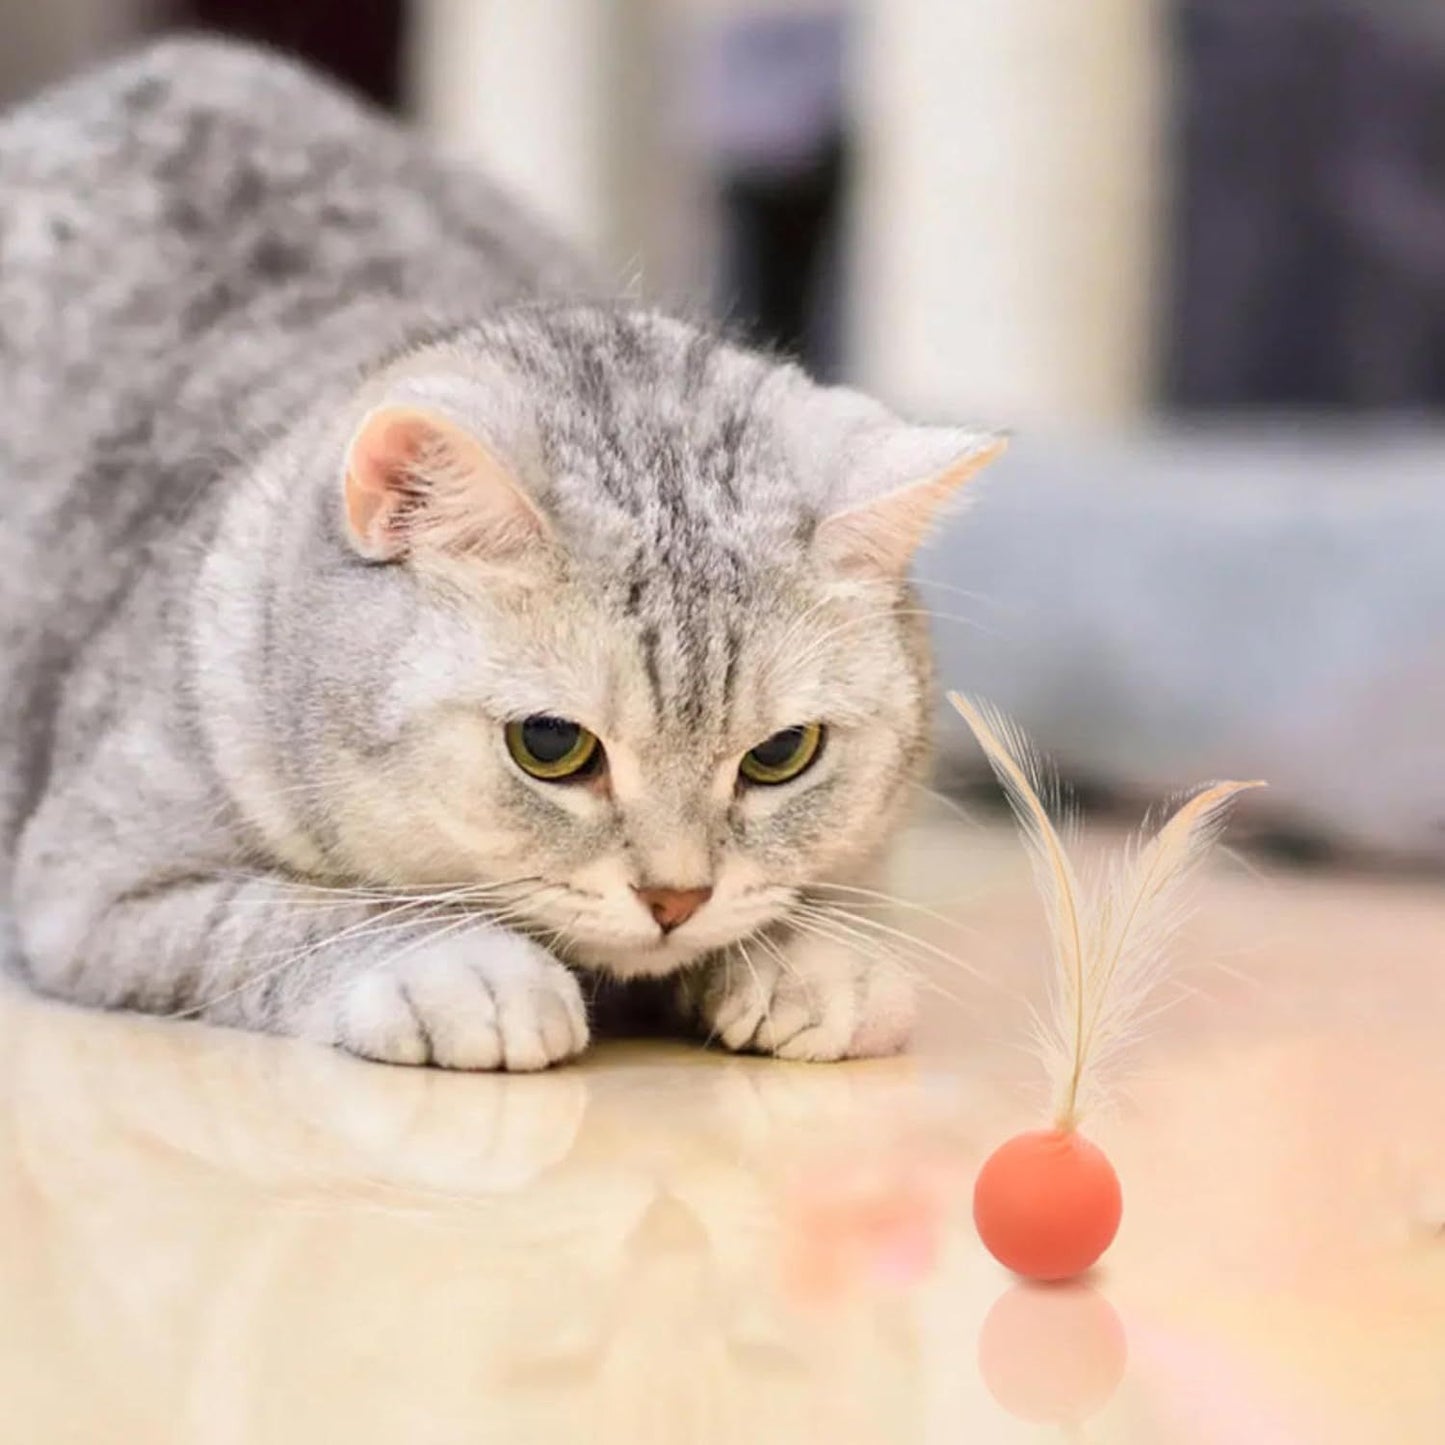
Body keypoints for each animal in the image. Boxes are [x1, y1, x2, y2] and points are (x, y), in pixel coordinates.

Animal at [0, 39, 999, 1069]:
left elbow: (824, 897)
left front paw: (813, 960)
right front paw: (465, 968)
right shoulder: (92, 888)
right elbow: (303, 914)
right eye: (551, 747)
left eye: (780, 755)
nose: (675, 898)